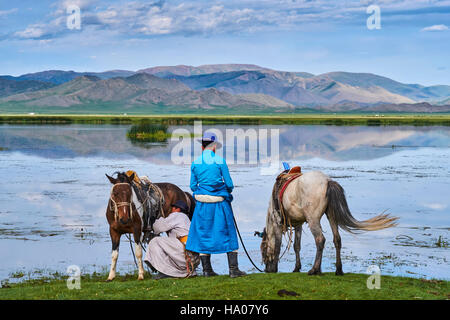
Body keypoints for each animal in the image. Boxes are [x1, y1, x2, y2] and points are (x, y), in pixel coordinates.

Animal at [260, 172, 398, 276]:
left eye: (263, 250)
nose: (266, 269)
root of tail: (327, 181)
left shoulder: (278, 223)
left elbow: (277, 246)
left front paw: (276, 268)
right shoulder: (298, 224)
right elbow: (296, 246)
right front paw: (297, 268)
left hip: (313, 219)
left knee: (320, 240)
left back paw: (314, 270)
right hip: (331, 216)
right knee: (337, 239)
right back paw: (338, 270)